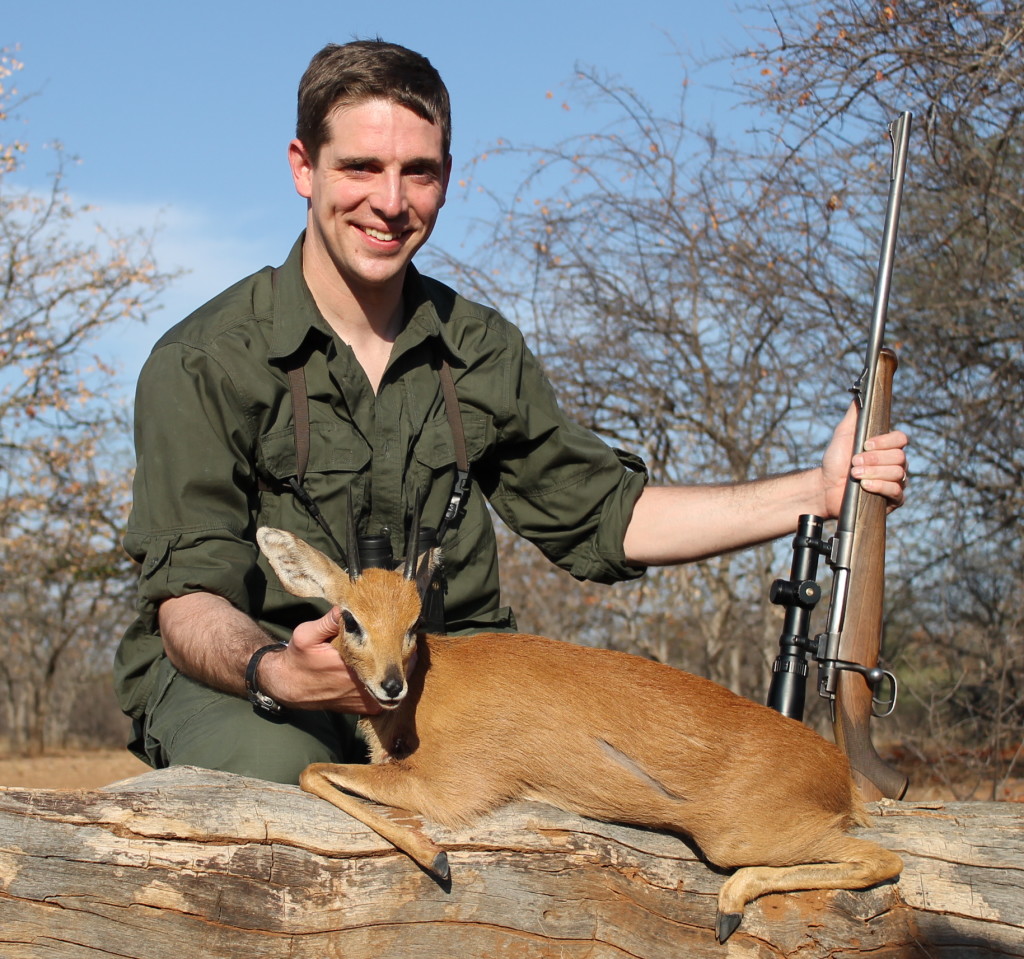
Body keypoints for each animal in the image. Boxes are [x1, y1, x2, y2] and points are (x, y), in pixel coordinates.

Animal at [258, 519, 905, 937]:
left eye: (416, 622)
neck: (423, 696)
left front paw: (436, 857)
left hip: (739, 840)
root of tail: (840, 774)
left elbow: (311, 771)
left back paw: (728, 906)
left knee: (885, 859)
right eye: (350, 619)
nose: (390, 683)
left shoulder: (451, 785)